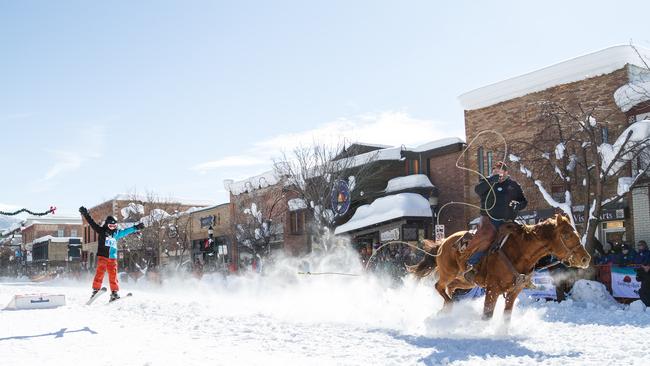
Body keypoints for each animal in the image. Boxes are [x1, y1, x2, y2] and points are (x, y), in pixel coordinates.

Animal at [410, 213, 588, 322]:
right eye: (566, 235)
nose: (586, 258)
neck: (520, 251)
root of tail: (444, 241)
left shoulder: (514, 291)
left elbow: (506, 316)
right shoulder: (493, 289)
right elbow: (487, 315)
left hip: (466, 281)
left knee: (451, 287)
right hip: (448, 273)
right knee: (439, 286)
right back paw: (448, 307)